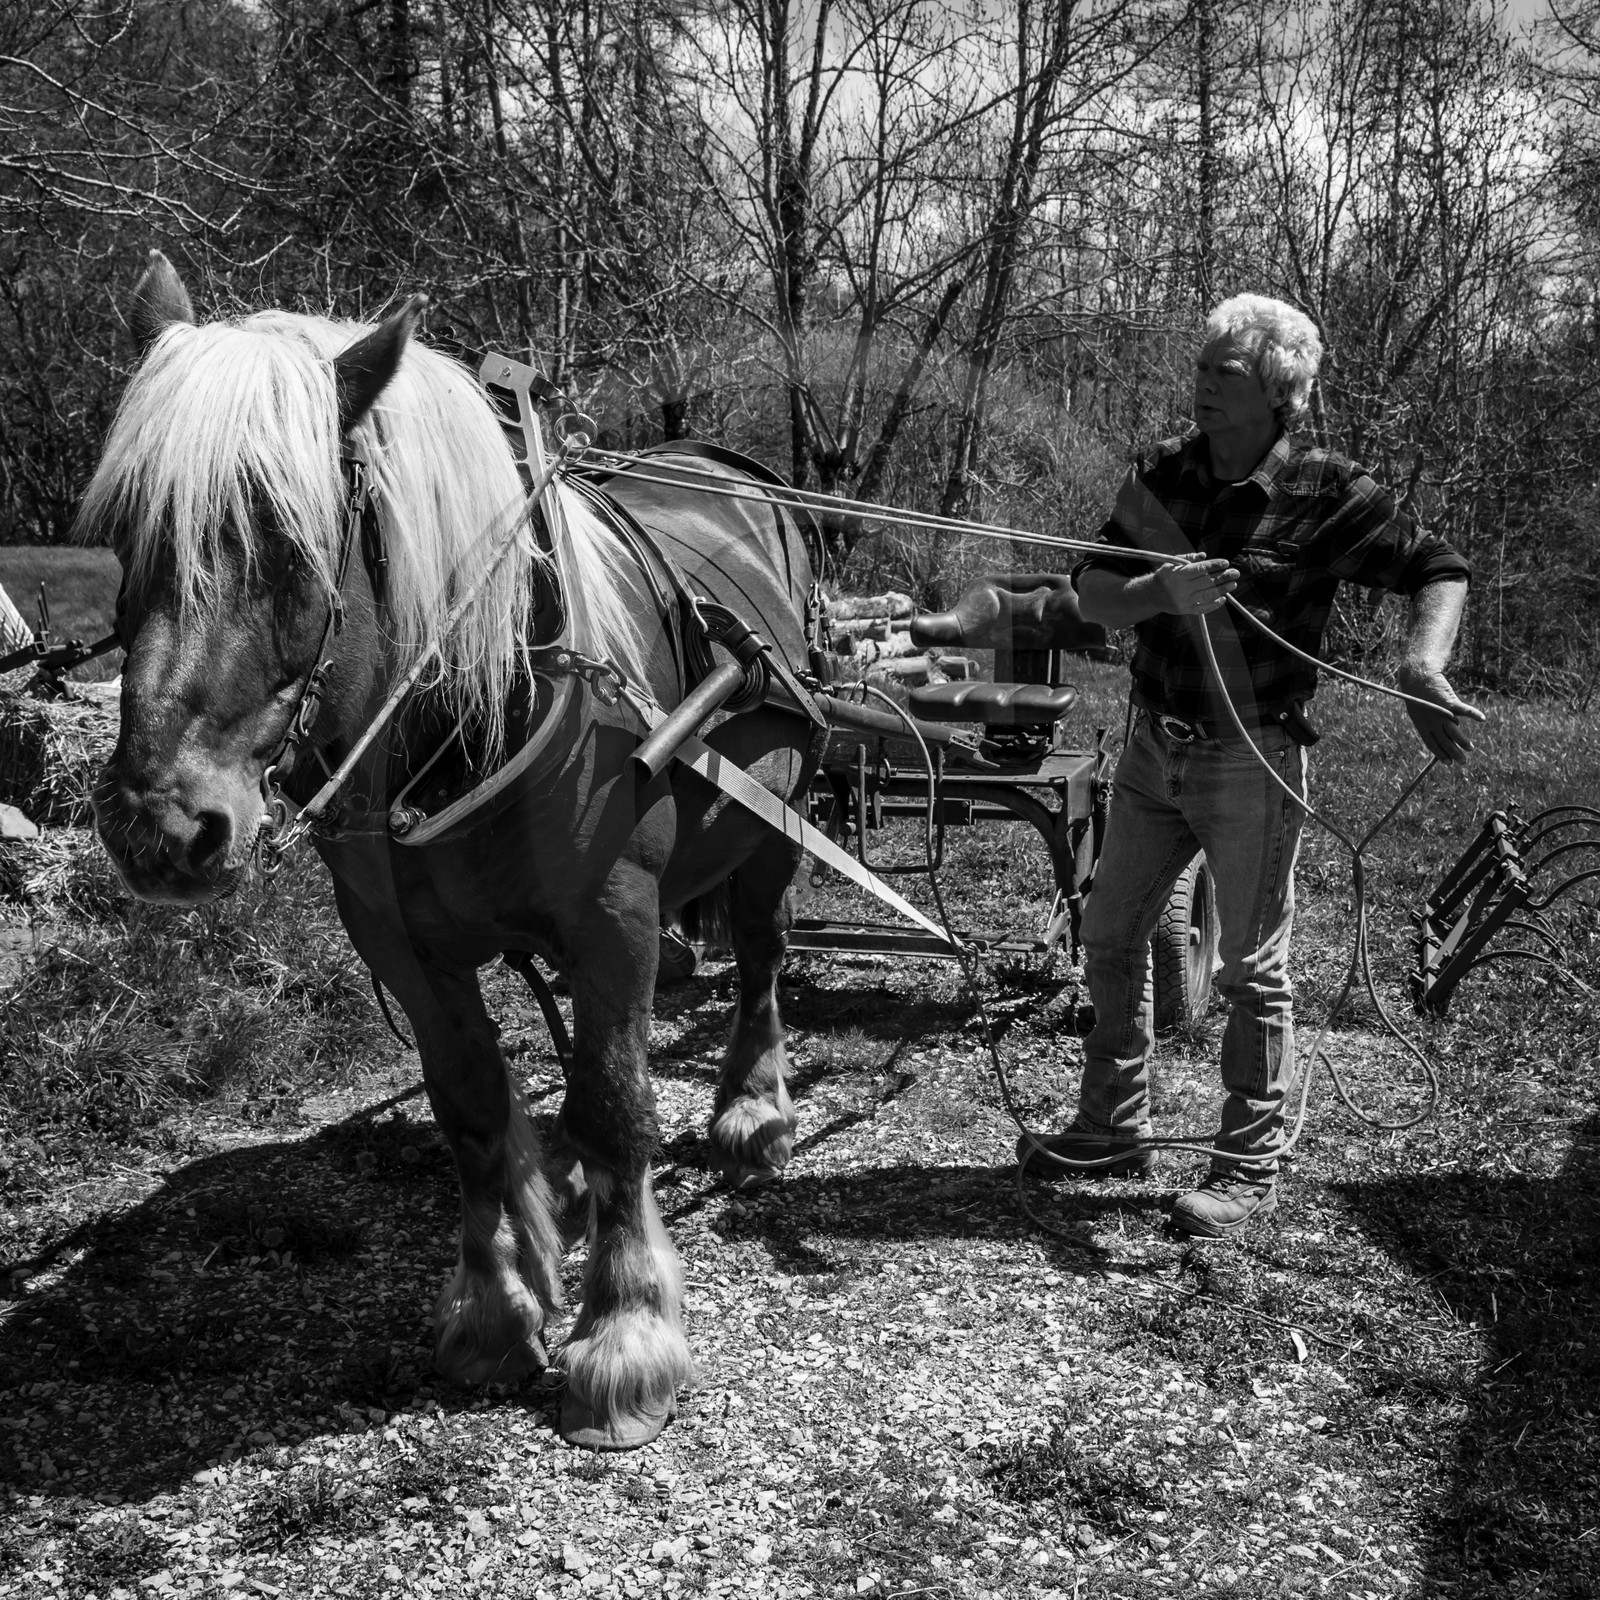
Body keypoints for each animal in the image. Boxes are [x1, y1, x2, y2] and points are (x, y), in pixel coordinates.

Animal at [86, 252, 822, 1451]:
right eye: (124, 530)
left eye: (288, 537)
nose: (162, 826)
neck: (481, 696)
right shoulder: (399, 941)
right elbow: (472, 1107)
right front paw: (495, 1304)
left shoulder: (614, 914)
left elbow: (618, 1103)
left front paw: (626, 1334)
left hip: (772, 822)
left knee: (759, 951)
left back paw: (752, 1107)